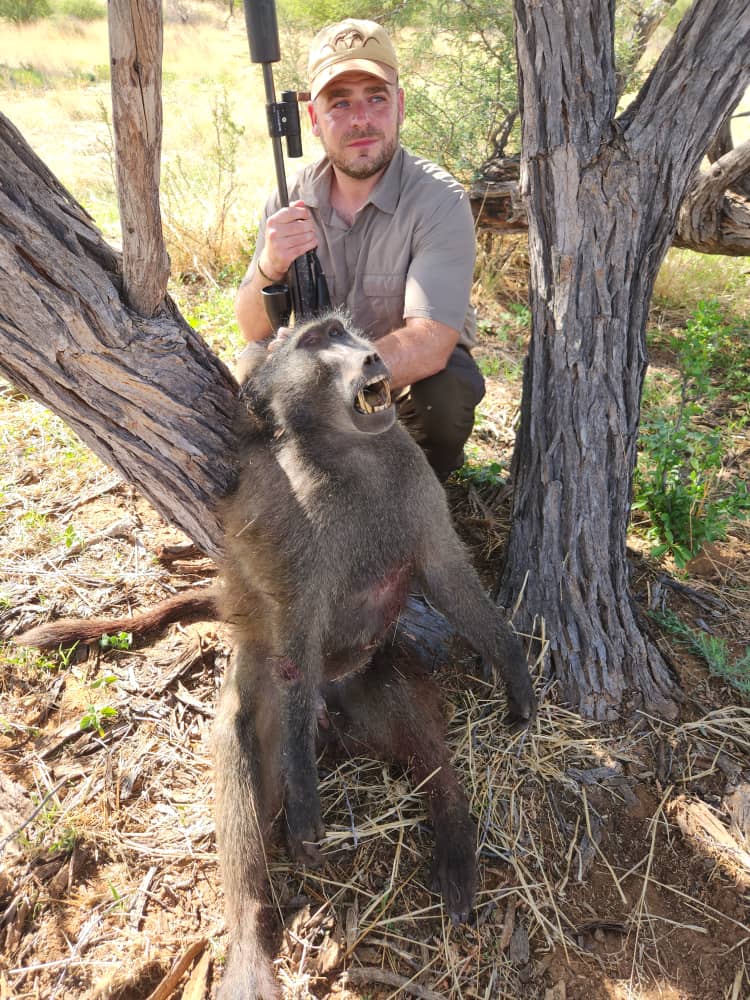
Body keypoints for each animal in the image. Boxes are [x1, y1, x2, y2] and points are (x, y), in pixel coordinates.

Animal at [17, 312, 535, 999]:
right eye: (319, 340)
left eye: (344, 330)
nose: (372, 356)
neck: (349, 453)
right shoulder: (294, 516)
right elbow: (295, 631)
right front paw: (307, 808)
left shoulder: (412, 474)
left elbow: (448, 574)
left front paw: (515, 673)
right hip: (266, 696)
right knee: (243, 760)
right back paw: (250, 946)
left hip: (370, 672)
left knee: (419, 736)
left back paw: (452, 837)